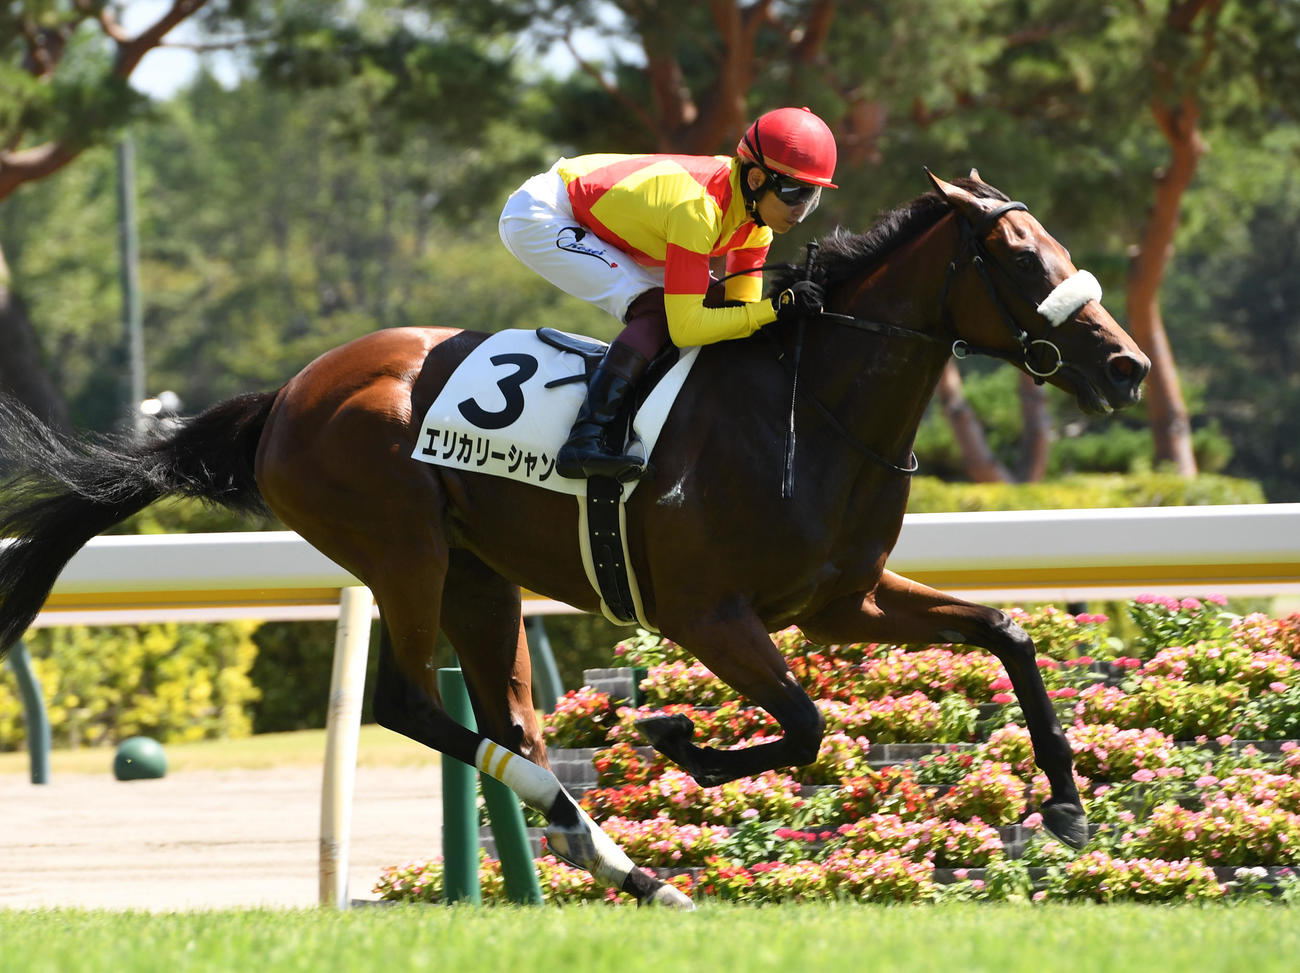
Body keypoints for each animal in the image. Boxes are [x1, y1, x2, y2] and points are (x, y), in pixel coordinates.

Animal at [0, 170, 1149, 909]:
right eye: (1016, 256)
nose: (1128, 366)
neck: (806, 410)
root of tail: (287, 393)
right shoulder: (705, 613)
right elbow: (808, 723)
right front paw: (678, 736)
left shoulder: (840, 600)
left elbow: (1006, 633)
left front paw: (1066, 805)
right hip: (402, 551)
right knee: (407, 703)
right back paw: (603, 844)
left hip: (480, 578)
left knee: (507, 722)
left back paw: (616, 862)